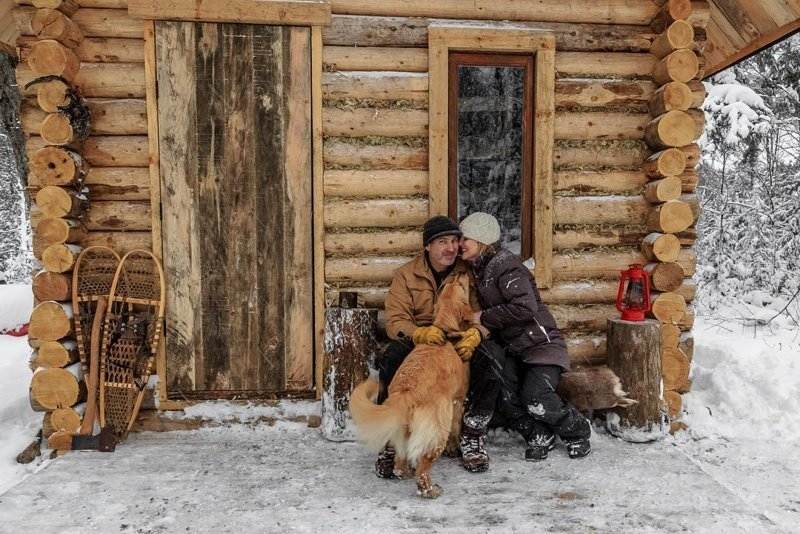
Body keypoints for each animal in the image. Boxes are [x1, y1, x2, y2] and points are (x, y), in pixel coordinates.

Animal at [350, 274, 476, 500]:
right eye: (461, 285)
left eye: (450, 283)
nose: (459, 272)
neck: (444, 330)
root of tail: (405, 393)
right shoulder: (459, 399)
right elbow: (457, 428)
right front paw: (454, 449)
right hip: (437, 430)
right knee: (424, 469)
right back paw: (430, 490)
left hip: (402, 432)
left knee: (400, 465)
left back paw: (406, 471)